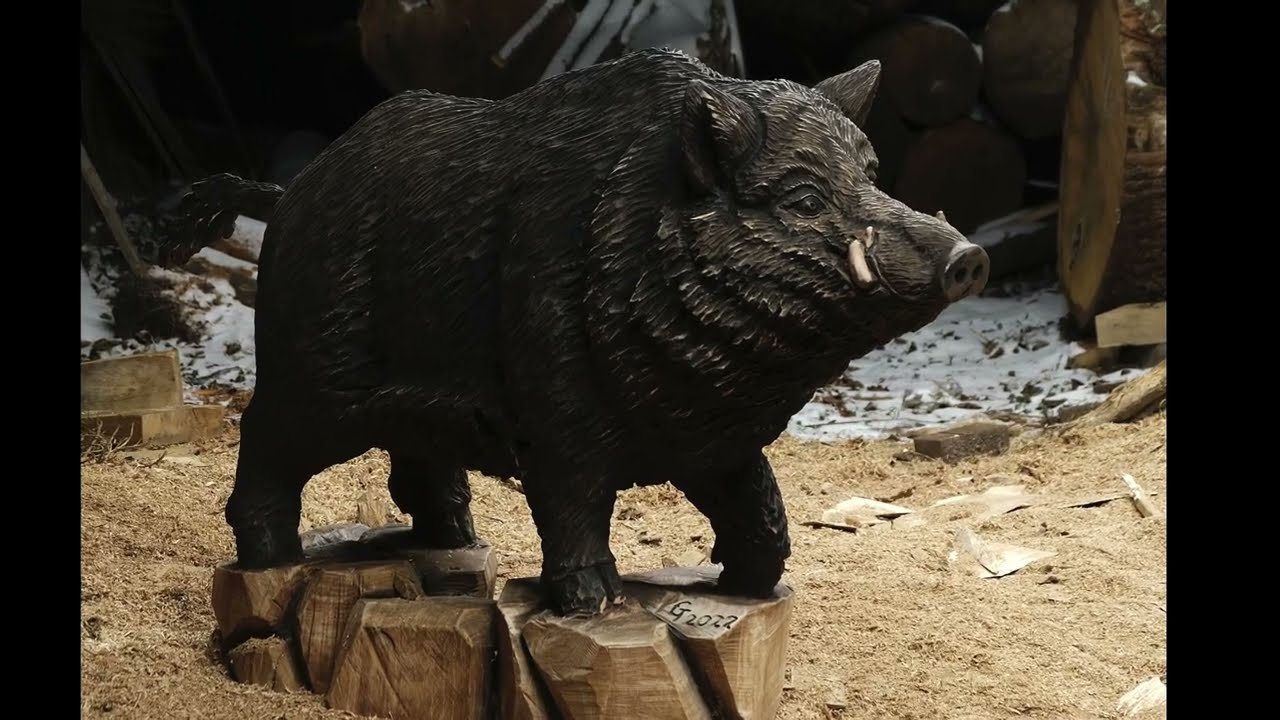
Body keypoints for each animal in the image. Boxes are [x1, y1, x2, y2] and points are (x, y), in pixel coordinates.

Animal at [169, 47, 989, 616]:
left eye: (874, 175)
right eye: (805, 199)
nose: (969, 257)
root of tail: (285, 196)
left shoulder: (714, 442)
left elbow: (762, 508)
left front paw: (753, 588)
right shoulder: (556, 406)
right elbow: (573, 502)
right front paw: (596, 602)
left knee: (417, 464)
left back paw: (458, 541)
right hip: (310, 372)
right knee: (263, 437)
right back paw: (269, 557)